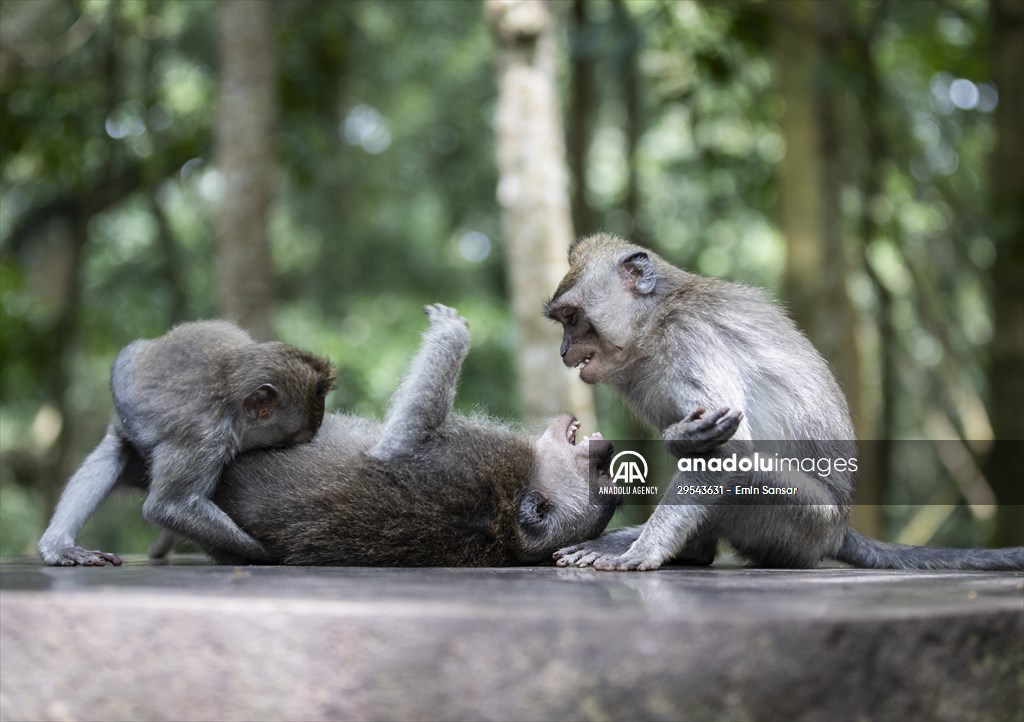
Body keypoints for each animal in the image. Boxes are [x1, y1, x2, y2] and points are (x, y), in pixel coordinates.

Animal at [37, 321, 335, 566]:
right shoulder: (204, 438)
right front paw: (269, 553)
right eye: (295, 439)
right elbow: (170, 506)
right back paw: (59, 545)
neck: (229, 404)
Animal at [207, 304, 619, 566]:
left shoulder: (475, 460)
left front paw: (451, 333)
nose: (609, 449)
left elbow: (397, 445)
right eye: (605, 472)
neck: (505, 520)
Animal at [544, 233, 1024, 572]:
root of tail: (839, 529)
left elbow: (726, 453)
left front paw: (644, 549)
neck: (653, 321)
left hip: (804, 521)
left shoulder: (689, 335)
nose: (563, 350)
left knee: (745, 468)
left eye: (572, 318)